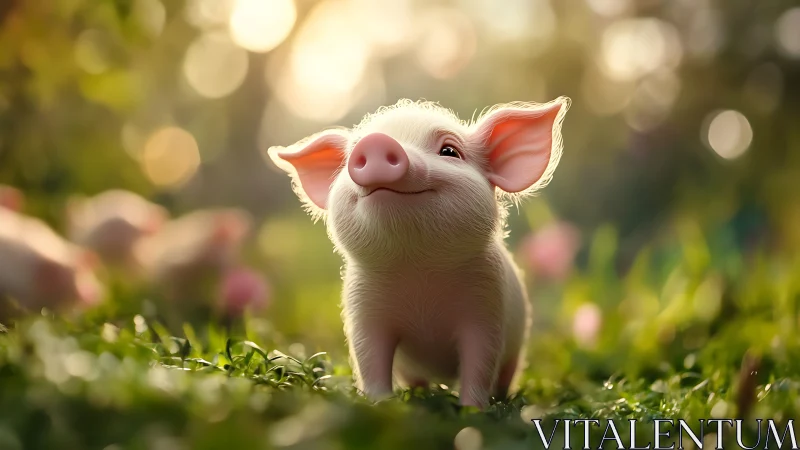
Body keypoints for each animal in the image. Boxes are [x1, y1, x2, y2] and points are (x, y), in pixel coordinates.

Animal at [266, 97, 570, 408]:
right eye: (352, 152)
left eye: (450, 151)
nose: (376, 142)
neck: (418, 269)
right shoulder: (363, 311)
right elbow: (369, 360)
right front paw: (379, 405)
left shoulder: (488, 308)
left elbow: (480, 363)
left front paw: (472, 410)